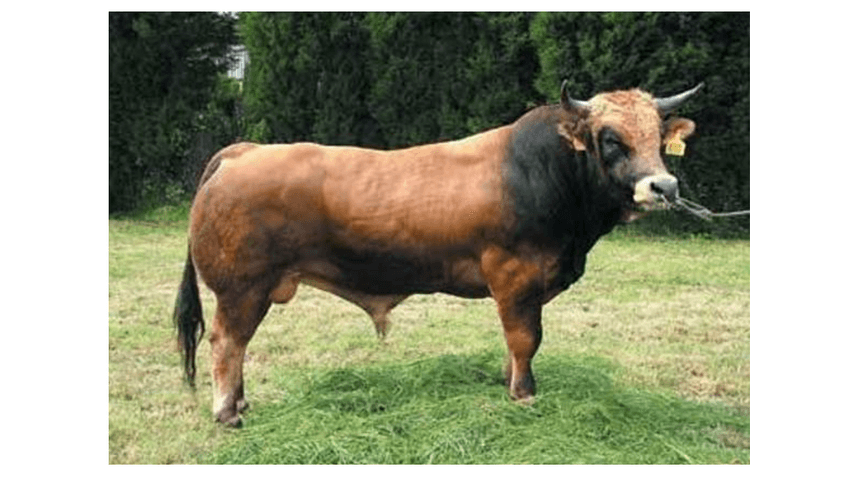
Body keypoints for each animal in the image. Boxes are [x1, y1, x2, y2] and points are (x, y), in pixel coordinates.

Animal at [174, 80, 702, 427]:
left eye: (658, 137)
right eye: (611, 139)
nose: (664, 186)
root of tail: (245, 151)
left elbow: (514, 342)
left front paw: (508, 382)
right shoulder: (516, 278)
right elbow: (525, 338)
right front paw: (524, 395)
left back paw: (240, 403)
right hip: (243, 288)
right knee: (227, 342)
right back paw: (228, 412)